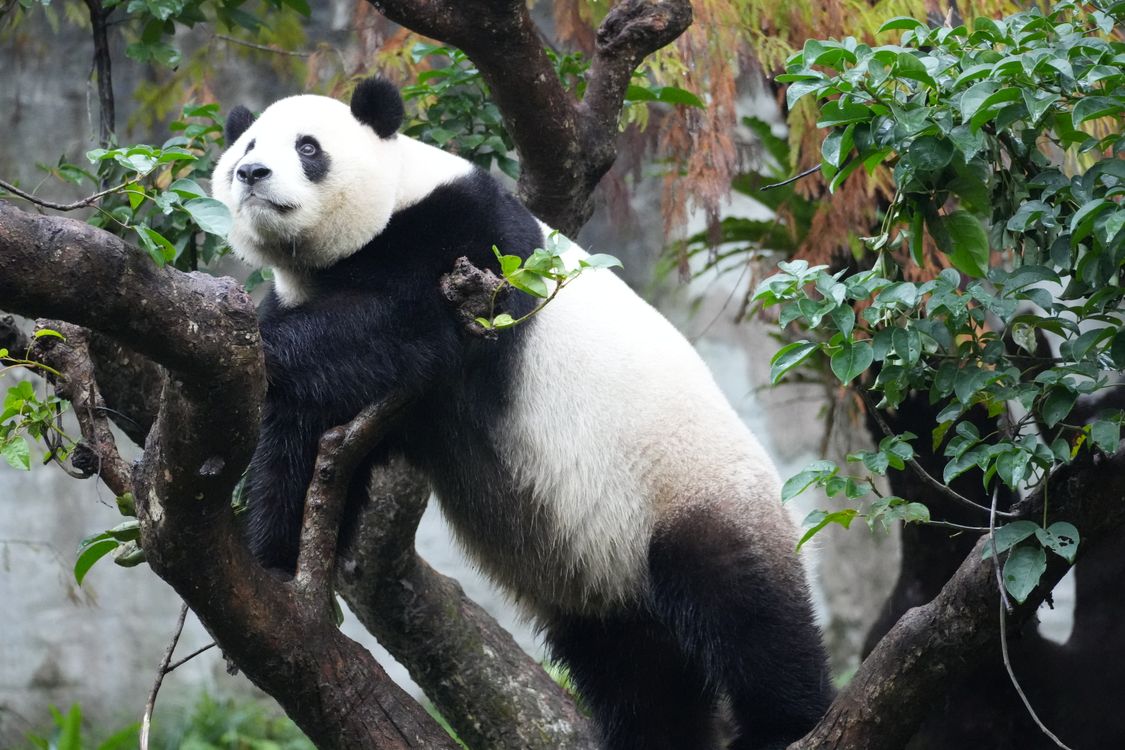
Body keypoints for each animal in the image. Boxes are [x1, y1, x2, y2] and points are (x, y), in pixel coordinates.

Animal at [212, 76, 832, 750]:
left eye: (308, 148)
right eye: (248, 144)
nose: (251, 173)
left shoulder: (471, 249)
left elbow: (402, 322)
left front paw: (243, 337)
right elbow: (310, 441)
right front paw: (279, 567)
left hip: (693, 489)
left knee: (747, 610)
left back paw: (782, 724)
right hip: (602, 578)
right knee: (637, 668)